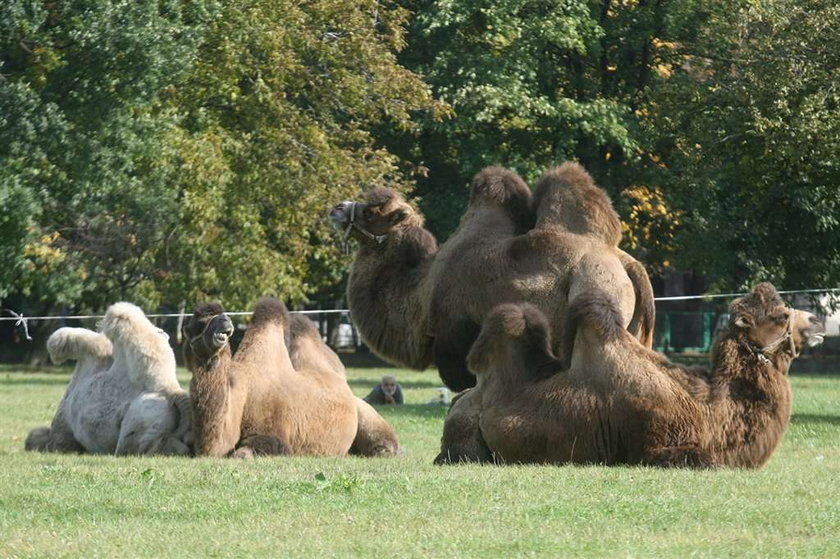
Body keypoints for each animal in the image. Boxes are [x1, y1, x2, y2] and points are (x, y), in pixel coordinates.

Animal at [330, 163, 656, 390]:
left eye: (372, 213)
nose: (337, 208)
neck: (421, 291)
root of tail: (627, 264)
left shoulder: (454, 342)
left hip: (594, 289)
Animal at [440, 282, 828, 470]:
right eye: (780, 316)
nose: (817, 321)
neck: (710, 410)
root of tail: (460, 400)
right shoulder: (659, 446)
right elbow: (710, 462)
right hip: (465, 441)